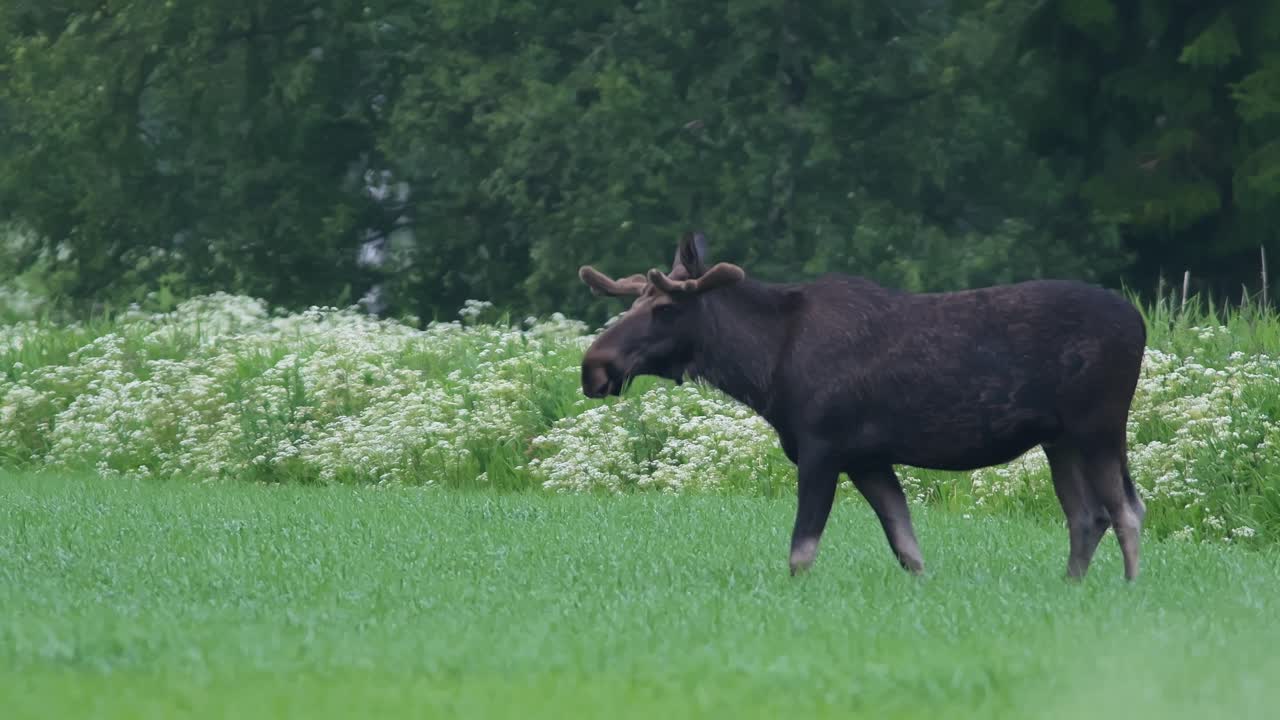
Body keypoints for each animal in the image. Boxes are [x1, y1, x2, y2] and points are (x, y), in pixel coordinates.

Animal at [577, 232, 1149, 581]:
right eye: (634, 302)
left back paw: (1129, 589)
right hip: (1059, 439)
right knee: (1086, 516)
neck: (763, 369)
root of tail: (1140, 325)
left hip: (1099, 426)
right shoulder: (868, 459)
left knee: (1126, 510)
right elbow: (908, 549)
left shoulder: (823, 447)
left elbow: (801, 551)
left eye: (665, 308)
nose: (594, 366)